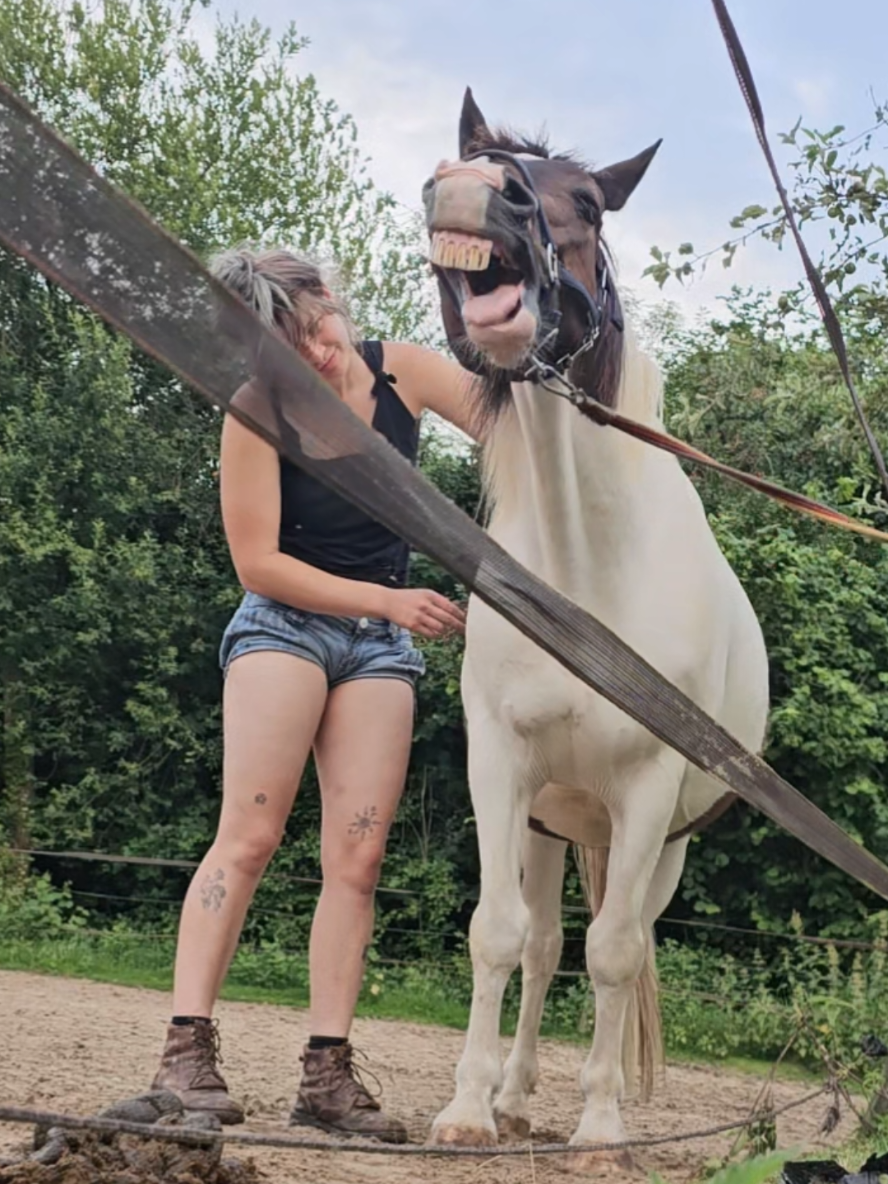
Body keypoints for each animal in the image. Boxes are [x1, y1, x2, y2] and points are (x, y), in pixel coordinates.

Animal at [420, 89, 770, 1168]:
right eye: (464, 159)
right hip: (551, 820)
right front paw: (466, 1110)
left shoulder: (648, 790)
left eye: (587, 201)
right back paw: (515, 1096)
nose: (471, 190)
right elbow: (497, 933)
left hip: (656, 846)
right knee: (539, 943)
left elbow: (613, 954)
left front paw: (604, 1129)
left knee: (622, 938)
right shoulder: (500, 767)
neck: (586, 582)